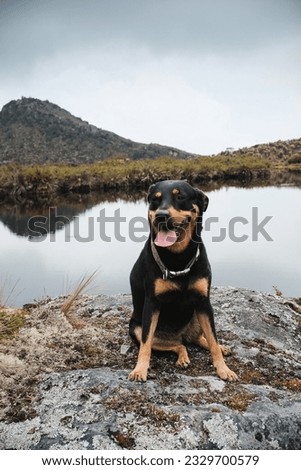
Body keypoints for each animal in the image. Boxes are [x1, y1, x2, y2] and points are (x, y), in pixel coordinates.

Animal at [128, 180, 237, 382]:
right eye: (155, 199)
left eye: (180, 197)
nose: (161, 216)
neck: (177, 256)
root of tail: (180, 334)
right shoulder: (151, 305)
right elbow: (145, 344)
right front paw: (140, 369)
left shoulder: (204, 303)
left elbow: (213, 339)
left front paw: (223, 368)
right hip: (136, 328)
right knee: (177, 345)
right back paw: (182, 357)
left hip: (198, 316)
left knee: (200, 339)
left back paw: (218, 347)